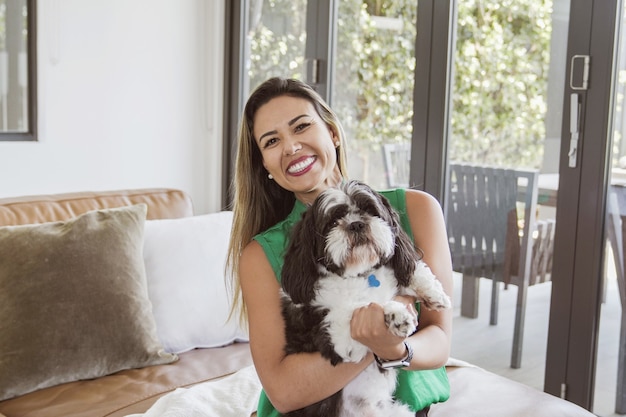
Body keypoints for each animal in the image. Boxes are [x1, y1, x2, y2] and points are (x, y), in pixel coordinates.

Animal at [280, 180, 450, 416]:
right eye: (333, 221)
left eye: (370, 211)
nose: (356, 224)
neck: (360, 274)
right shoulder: (336, 337)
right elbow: (366, 307)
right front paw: (396, 315)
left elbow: (411, 271)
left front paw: (433, 291)